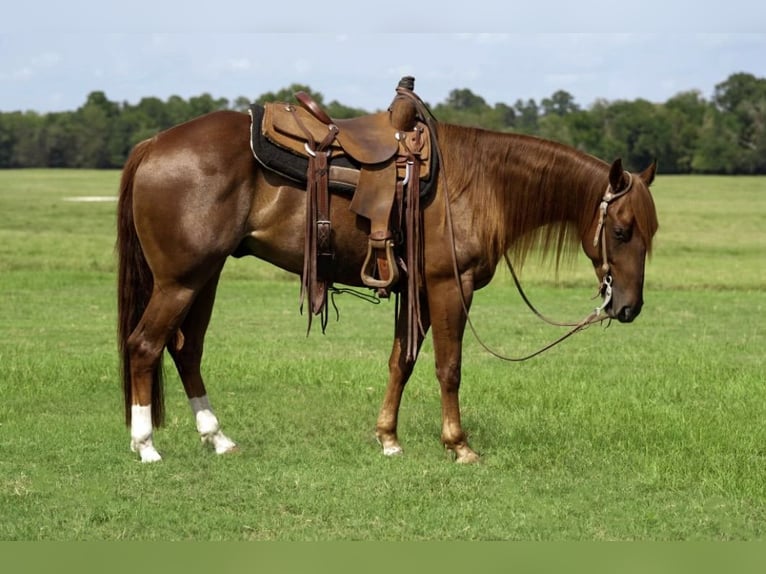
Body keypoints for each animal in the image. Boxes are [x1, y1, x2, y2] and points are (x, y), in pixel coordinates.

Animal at [115, 106, 660, 466]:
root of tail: (153, 145)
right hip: (180, 281)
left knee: (185, 350)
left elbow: (402, 361)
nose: (629, 307)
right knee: (144, 346)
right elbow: (448, 367)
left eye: (651, 232)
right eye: (621, 231)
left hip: (204, 278)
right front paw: (458, 444)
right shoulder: (449, 285)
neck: (480, 182)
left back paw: (217, 438)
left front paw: (388, 438)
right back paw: (145, 445)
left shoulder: (416, 291)